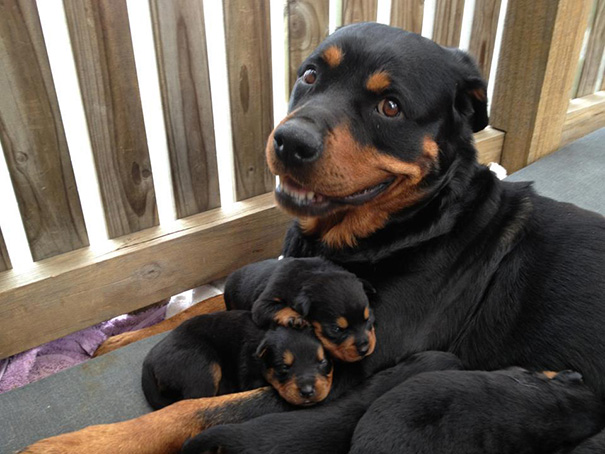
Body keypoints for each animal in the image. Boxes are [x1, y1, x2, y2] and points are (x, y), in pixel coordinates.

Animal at [140, 312, 330, 408]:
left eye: (323, 362)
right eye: (283, 367)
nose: (307, 391)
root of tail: (148, 361)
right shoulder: (250, 377)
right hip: (202, 366)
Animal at [224, 258, 376, 364]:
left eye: (368, 319)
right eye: (336, 329)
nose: (365, 349)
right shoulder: (262, 304)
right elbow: (279, 307)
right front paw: (296, 318)